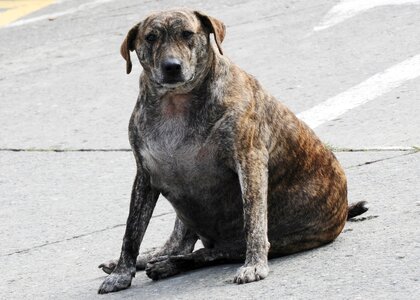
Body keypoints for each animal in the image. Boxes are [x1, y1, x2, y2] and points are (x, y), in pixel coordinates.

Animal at [97, 8, 368, 292]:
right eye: (151, 37)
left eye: (187, 34)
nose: (172, 66)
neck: (176, 103)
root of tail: (343, 209)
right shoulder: (145, 175)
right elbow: (132, 231)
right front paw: (122, 271)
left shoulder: (249, 161)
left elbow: (254, 221)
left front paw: (254, 265)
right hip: (185, 212)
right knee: (180, 243)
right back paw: (151, 257)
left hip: (284, 238)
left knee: (210, 253)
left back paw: (169, 264)